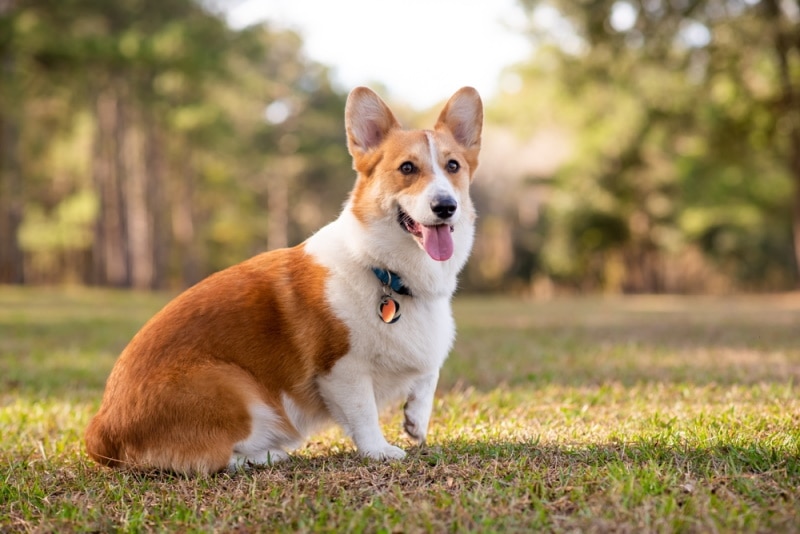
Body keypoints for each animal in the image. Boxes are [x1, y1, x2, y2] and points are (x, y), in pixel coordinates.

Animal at [83, 86, 482, 476]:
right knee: (212, 460)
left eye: (453, 166)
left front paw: (416, 420)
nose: (446, 206)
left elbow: (428, 373)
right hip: (233, 387)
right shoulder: (342, 369)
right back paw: (267, 456)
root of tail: (101, 430)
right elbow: (364, 414)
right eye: (407, 168)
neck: (384, 269)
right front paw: (380, 451)